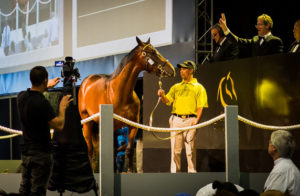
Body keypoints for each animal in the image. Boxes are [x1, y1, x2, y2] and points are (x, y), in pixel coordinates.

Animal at [78, 37, 176, 172]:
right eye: (152, 52)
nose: (172, 70)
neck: (119, 93)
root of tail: (86, 82)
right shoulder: (113, 127)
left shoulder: (133, 125)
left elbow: (128, 150)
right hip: (87, 124)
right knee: (90, 151)